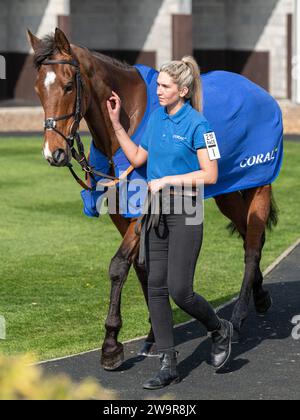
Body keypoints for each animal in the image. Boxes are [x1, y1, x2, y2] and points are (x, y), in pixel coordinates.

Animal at [27, 28, 278, 370]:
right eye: (38, 88)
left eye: (67, 85)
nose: (53, 153)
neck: (129, 121)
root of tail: (260, 92)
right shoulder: (121, 212)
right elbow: (141, 268)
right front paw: (152, 334)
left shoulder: (142, 208)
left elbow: (119, 265)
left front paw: (110, 344)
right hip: (227, 191)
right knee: (249, 233)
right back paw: (260, 294)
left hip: (258, 182)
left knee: (252, 244)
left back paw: (238, 317)